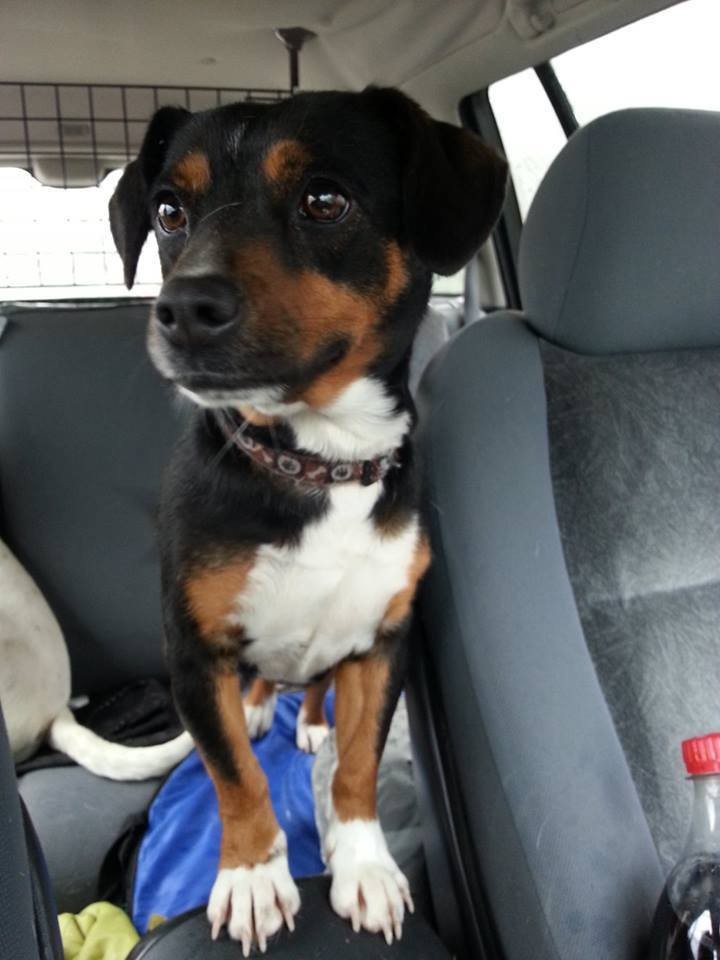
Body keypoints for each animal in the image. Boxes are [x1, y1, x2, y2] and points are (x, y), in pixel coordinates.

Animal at [109, 87, 506, 952]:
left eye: (325, 200)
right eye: (169, 211)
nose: (182, 309)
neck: (321, 463)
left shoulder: (387, 643)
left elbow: (357, 765)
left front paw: (364, 866)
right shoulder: (192, 655)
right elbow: (234, 775)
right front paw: (255, 875)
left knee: (317, 689)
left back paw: (309, 718)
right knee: (257, 691)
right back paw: (261, 707)